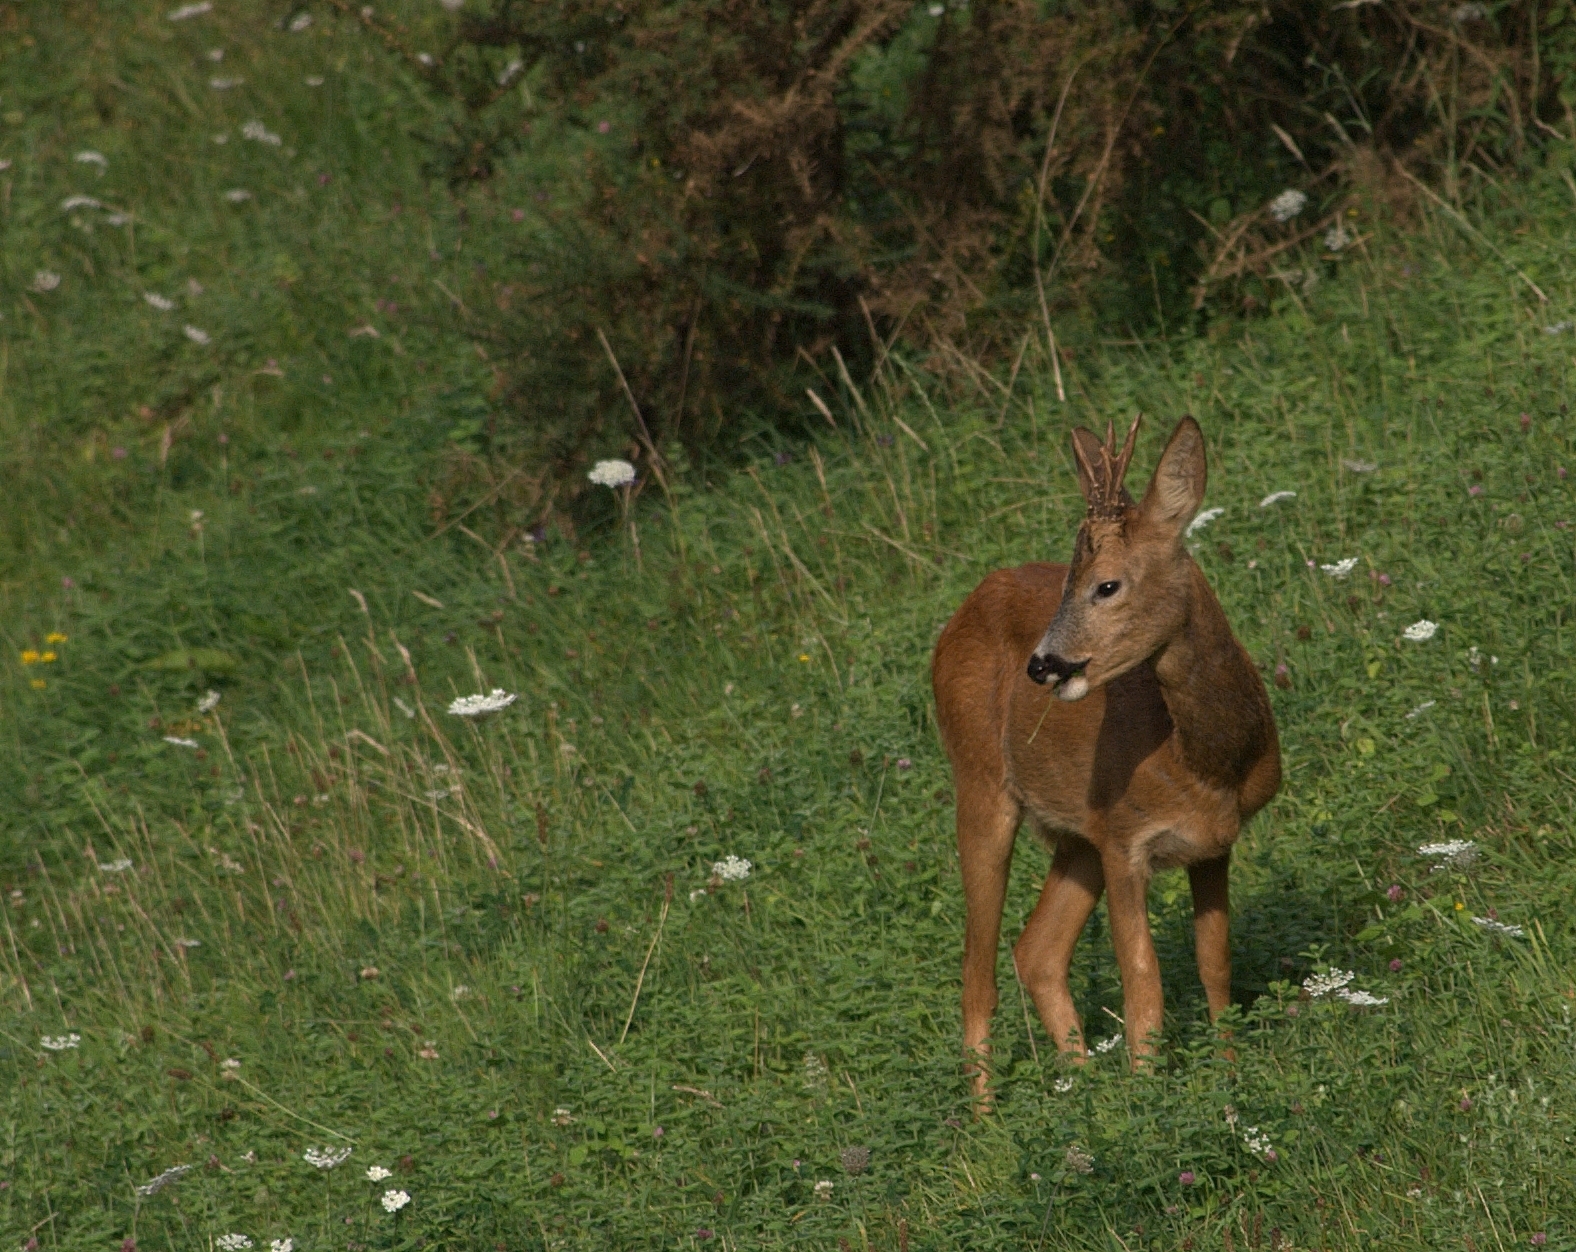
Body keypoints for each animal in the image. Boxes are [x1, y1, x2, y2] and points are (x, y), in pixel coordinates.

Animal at [932, 413, 1279, 1084]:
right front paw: (1148, 1093)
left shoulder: (1211, 845)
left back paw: (1082, 1083)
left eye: (1106, 585)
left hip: (1076, 836)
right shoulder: (1124, 838)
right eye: (1067, 582)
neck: (1204, 762)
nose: (1042, 664)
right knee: (975, 975)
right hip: (981, 783)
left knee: (1036, 951)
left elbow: (1215, 966)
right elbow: (1143, 982)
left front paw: (1228, 1077)